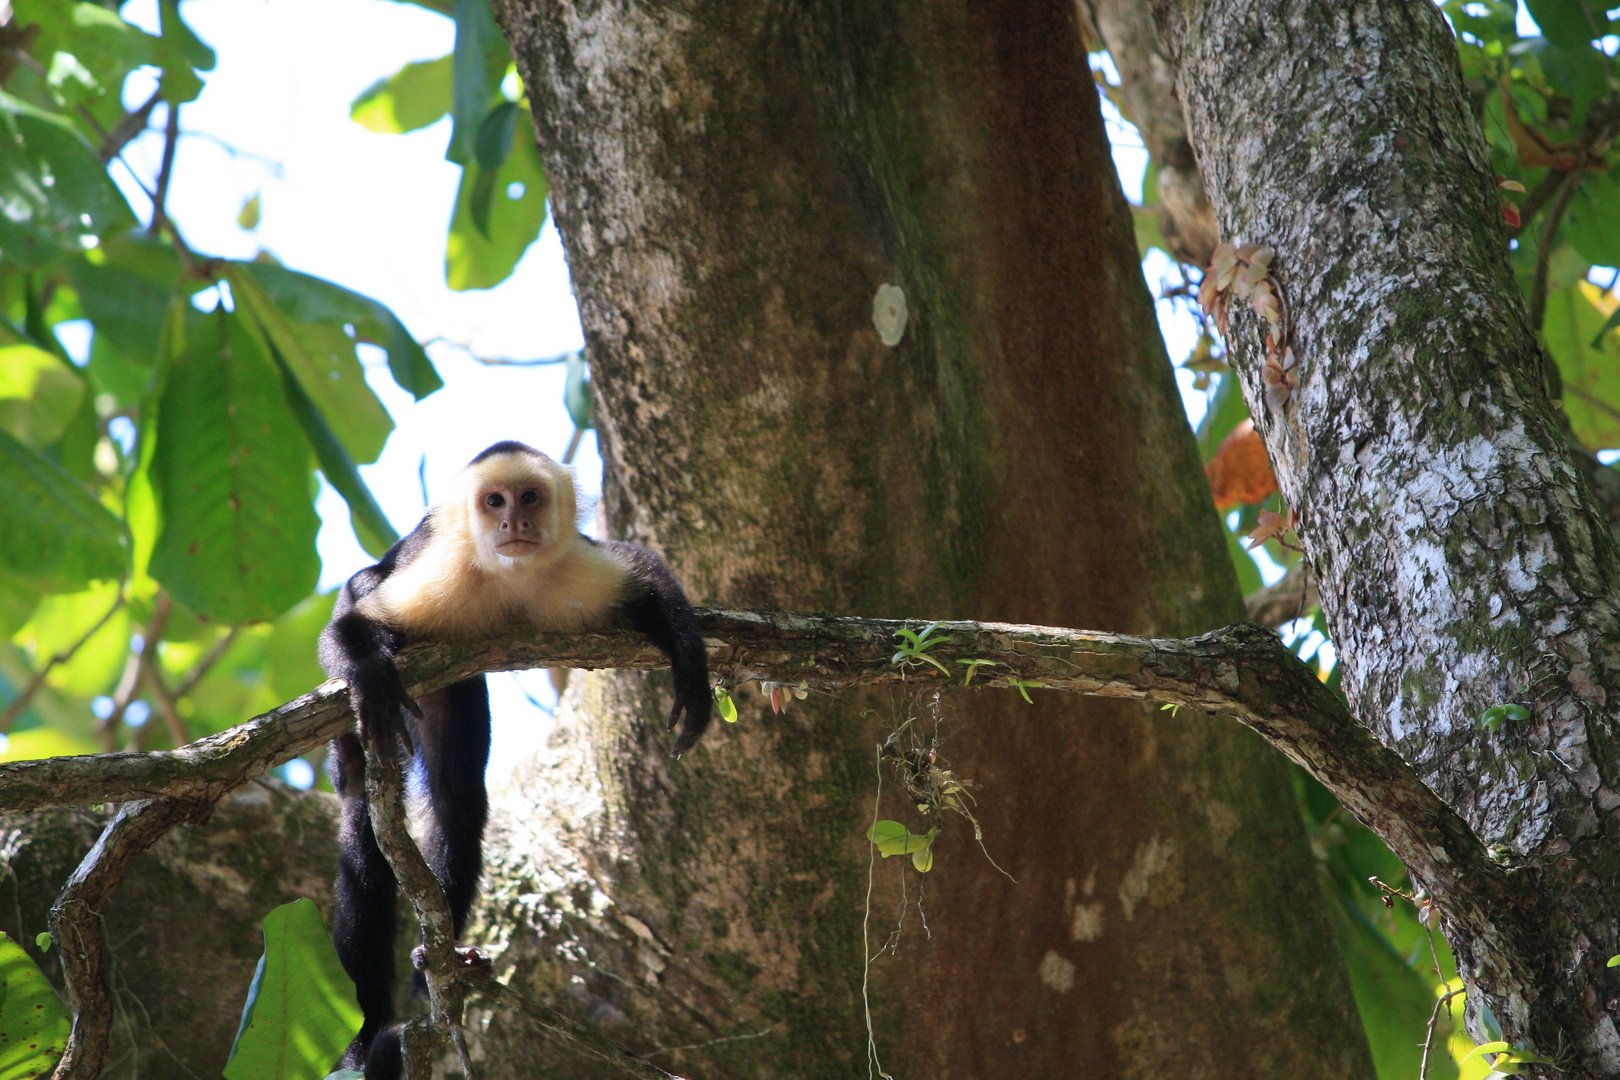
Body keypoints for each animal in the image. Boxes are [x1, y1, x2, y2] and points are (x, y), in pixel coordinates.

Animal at [319, 437, 712, 1075]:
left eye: (529, 497)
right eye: (494, 501)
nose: (513, 522)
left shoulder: (580, 568)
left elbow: (648, 574)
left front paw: (689, 658)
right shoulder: (436, 577)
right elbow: (351, 615)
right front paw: (368, 672)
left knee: (458, 796)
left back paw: (441, 962)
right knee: (364, 818)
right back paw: (368, 1025)